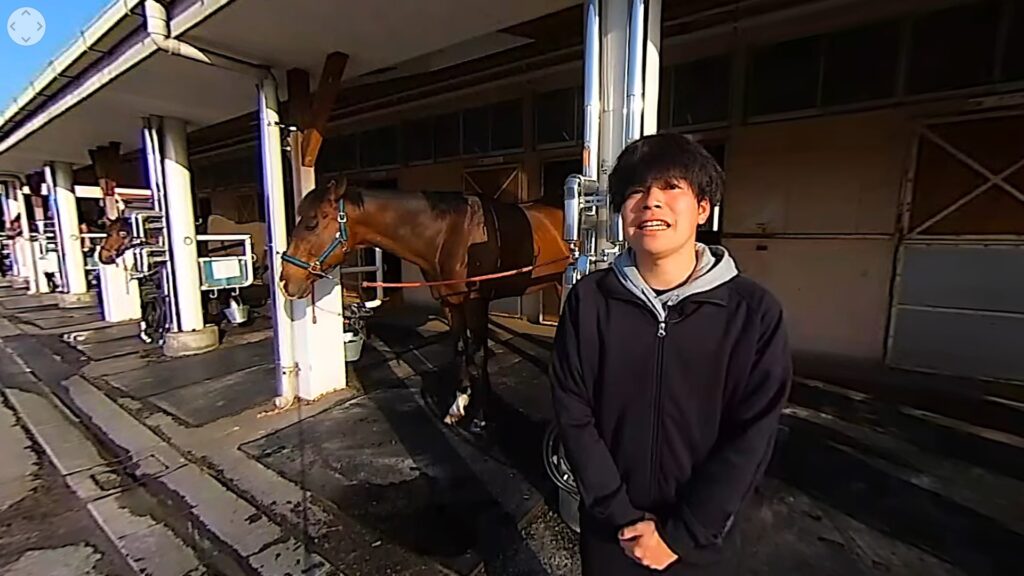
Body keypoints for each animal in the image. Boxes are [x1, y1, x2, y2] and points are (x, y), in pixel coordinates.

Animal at [280, 177, 569, 432]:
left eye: (312, 224)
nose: (285, 281)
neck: (451, 234)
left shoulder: (477, 303)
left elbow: (478, 354)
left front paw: (480, 417)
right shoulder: (450, 303)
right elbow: (460, 349)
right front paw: (457, 407)